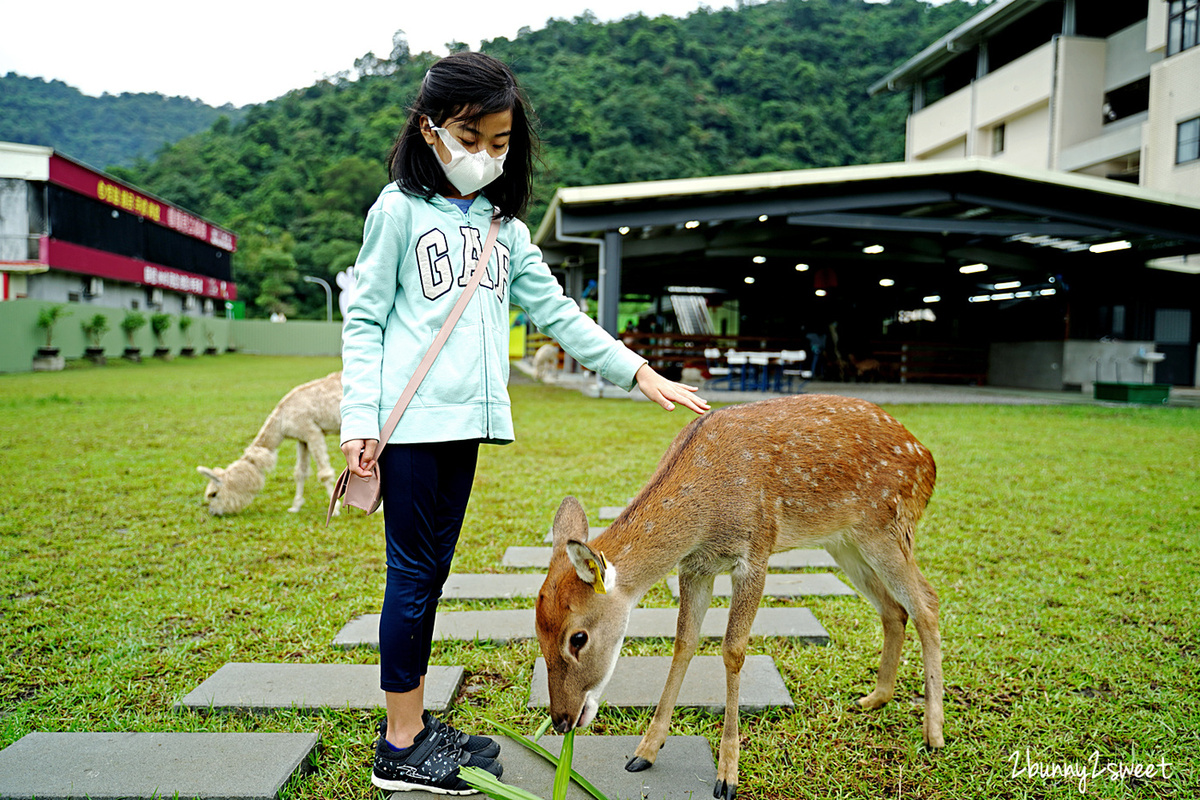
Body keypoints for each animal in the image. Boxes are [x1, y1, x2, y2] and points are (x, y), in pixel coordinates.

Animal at [540, 393, 940, 800]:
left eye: (578, 637)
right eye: (539, 633)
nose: (560, 721)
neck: (704, 518)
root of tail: (928, 460)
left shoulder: (756, 553)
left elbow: (733, 650)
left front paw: (727, 776)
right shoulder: (695, 567)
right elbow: (684, 642)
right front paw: (645, 752)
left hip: (888, 526)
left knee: (926, 601)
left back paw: (933, 733)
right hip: (844, 542)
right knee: (894, 608)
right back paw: (875, 697)